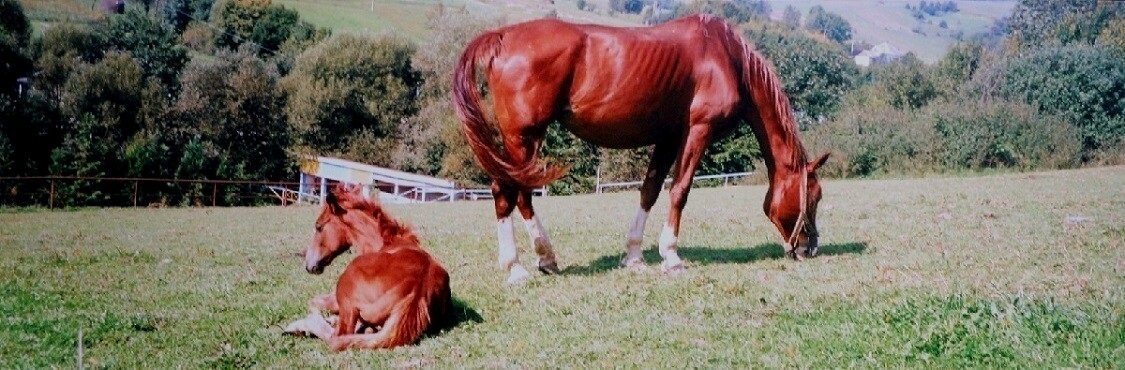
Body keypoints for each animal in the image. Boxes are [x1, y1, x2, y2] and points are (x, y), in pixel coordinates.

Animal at [288, 184, 454, 348]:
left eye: (318, 227)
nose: (309, 264)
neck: (386, 243)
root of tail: (416, 291)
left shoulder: (337, 299)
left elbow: (313, 302)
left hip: (346, 292)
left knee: (337, 336)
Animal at [452, 12, 832, 281]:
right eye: (813, 197)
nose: (809, 247)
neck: (727, 57)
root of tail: (502, 37)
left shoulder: (668, 138)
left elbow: (649, 191)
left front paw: (634, 256)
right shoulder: (698, 131)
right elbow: (680, 190)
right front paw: (672, 256)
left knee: (520, 193)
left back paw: (546, 258)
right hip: (523, 136)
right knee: (507, 191)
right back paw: (516, 267)